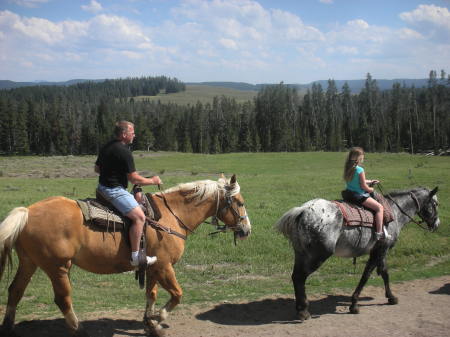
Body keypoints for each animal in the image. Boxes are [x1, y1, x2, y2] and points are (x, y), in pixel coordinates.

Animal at [274, 186, 440, 320]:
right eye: (435, 204)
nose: (437, 224)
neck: (394, 211)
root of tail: (303, 210)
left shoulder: (379, 250)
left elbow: (384, 272)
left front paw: (390, 297)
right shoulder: (380, 250)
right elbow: (367, 275)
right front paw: (354, 304)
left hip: (301, 254)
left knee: (295, 277)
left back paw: (300, 309)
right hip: (317, 256)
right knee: (300, 278)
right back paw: (303, 311)